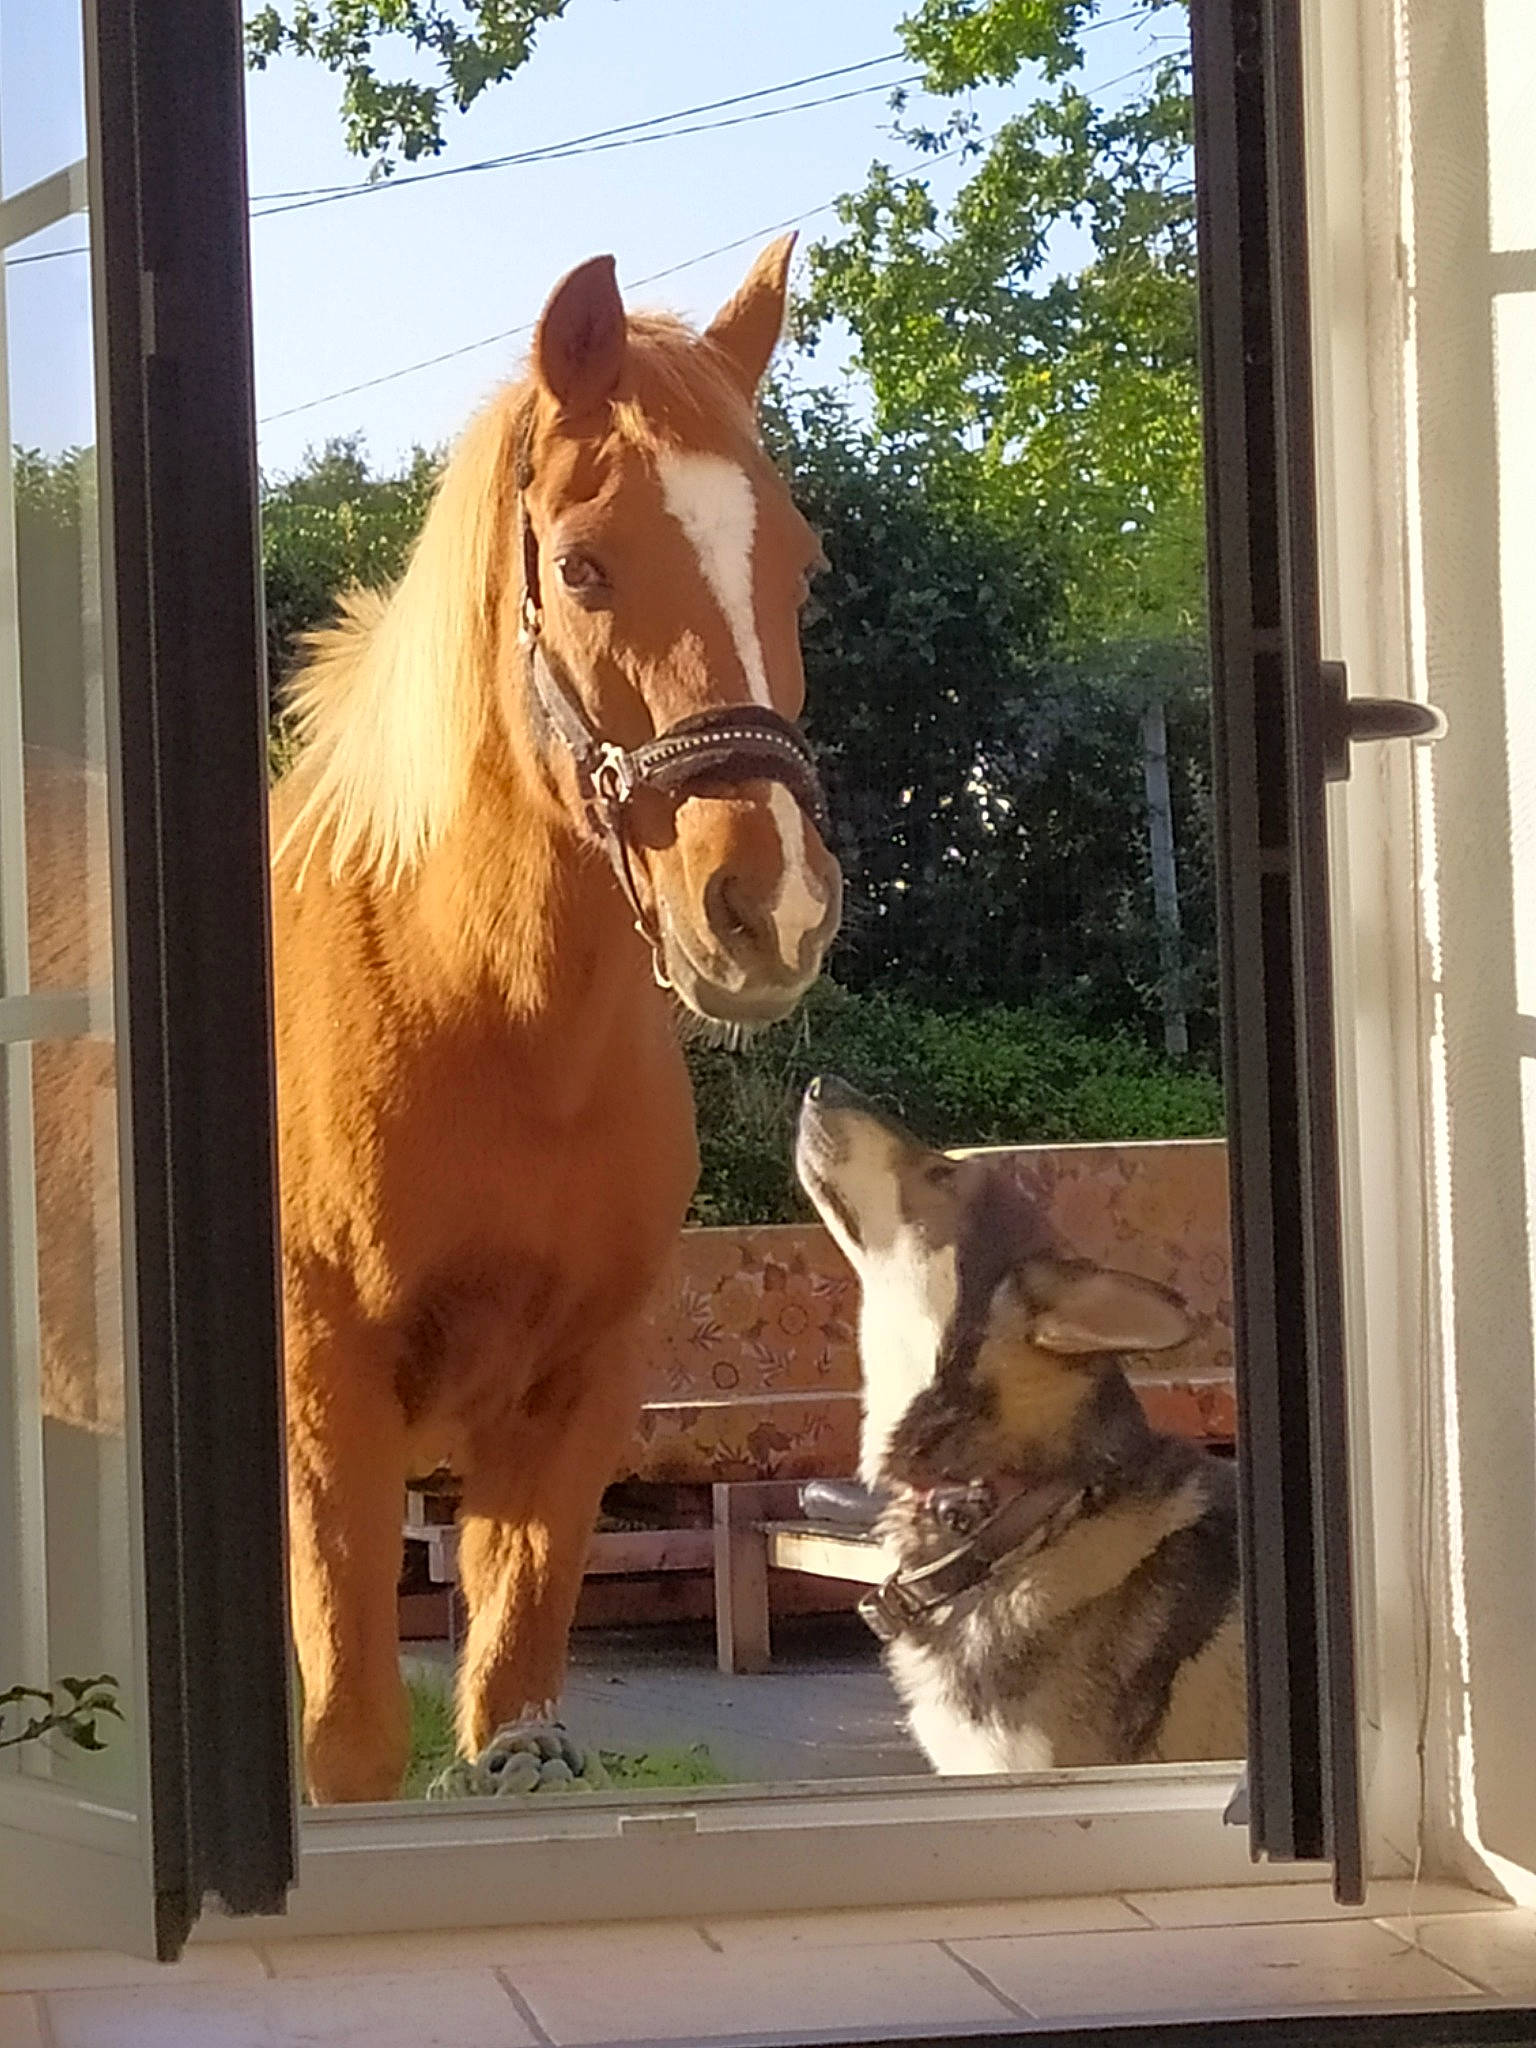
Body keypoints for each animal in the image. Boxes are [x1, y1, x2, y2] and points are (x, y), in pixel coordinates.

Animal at [267, 237, 841, 1800]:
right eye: (581, 564)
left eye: (802, 567)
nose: (771, 909)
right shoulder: (325, 1411)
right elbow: (349, 1745)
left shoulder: (569, 1413)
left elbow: (507, 1717)